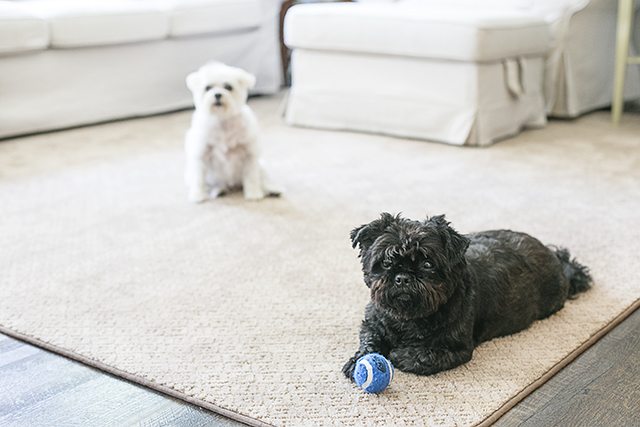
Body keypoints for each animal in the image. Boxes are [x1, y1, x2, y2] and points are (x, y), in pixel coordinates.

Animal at [182, 61, 278, 204]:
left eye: (228, 87)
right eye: (208, 88)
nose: (217, 94)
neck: (223, 120)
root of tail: (232, 185)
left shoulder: (249, 154)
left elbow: (251, 177)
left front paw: (253, 194)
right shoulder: (201, 155)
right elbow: (198, 179)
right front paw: (198, 196)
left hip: (261, 166)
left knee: (263, 179)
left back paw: (273, 190)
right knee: (215, 184)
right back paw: (219, 190)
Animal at [342, 213, 592, 378]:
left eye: (427, 264)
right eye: (386, 262)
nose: (402, 277)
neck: (408, 318)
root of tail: (556, 258)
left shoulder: (457, 349)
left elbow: (422, 356)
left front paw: (400, 354)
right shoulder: (372, 323)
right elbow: (369, 340)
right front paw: (357, 361)